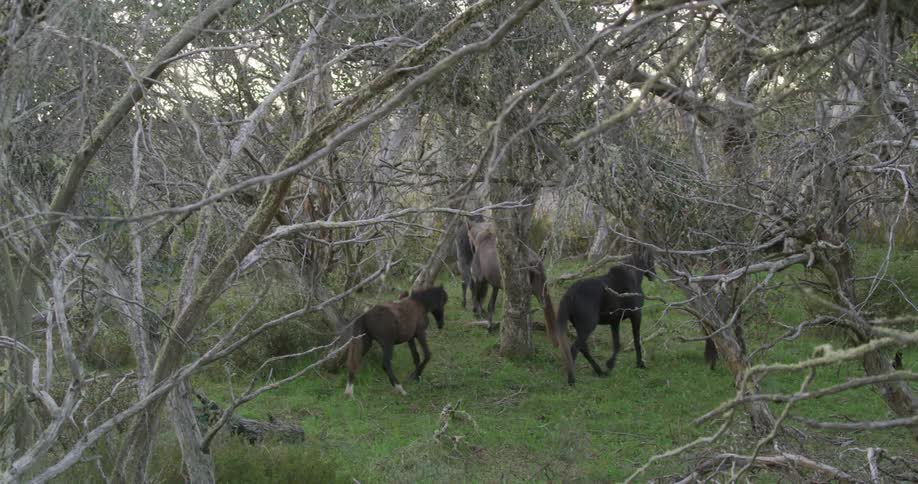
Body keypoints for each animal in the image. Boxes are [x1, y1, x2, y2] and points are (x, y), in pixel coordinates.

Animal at [552, 250, 655, 385]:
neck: (633, 276)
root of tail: (571, 293)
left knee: (583, 349)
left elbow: (617, 344)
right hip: (588, 326)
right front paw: (640, 364)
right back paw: (572, 381)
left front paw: (609, 365)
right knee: (574, 349)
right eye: (651, 259)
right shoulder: (636, 315)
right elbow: (637, 340)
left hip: (581, 327)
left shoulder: (615, 322)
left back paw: (600, 372)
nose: (654, 275)